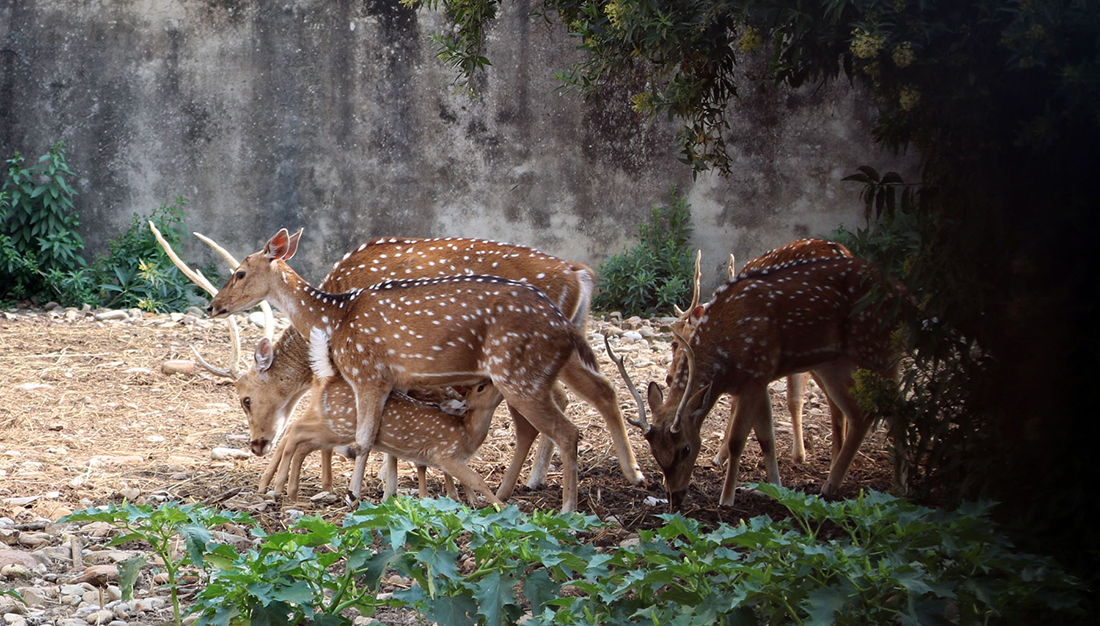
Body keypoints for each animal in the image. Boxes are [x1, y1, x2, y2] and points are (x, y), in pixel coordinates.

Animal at [261, 327, 506, 508]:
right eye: (481, 387)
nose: (496, 380)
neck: (467, 434)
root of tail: (330, 376)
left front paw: (469, 502)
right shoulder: (446, 454)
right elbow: (477, 480)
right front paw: (499, 506)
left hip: (332, 424)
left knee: (301, 438)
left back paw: (287, 491)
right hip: (340, 425)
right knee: (296, 430)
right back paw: (279, 489)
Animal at [611, 248, 902, 508]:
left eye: (686, 448)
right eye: (655, 454)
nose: (675, 498)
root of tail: (901, 290)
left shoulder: (756, 373)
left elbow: (738, 439)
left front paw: (727, 497)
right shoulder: (760, 379)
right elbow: (766, 438)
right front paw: (776, 489)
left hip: (877, 348)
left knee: (888, 407)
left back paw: (857, 484)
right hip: (835, 363)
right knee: (863, 412)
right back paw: (862, 483)